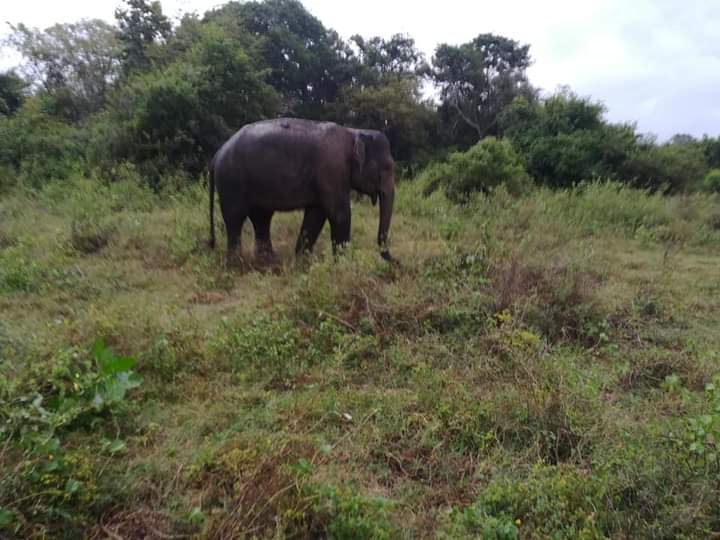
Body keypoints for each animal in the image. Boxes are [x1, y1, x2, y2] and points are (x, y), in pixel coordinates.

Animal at [208, 118, 395, 265]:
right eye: (387, 168)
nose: (397, 262)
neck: (354, 132)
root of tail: (217, 154)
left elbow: (316, 215)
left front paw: (303, 262)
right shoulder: (332, 170)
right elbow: (340, 214)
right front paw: (344, 265)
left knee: (261, 217)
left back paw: (268, 261)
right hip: (231, 182)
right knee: (235, 218)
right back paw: (237, 264)